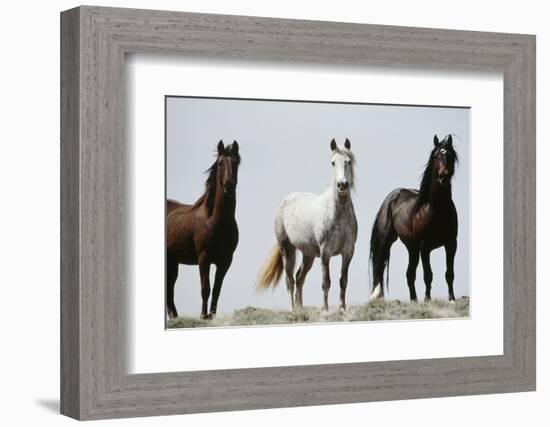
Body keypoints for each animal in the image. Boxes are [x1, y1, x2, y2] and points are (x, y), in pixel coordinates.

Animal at [165, 142, 240, 320]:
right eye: (220, 163)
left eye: (236, 163)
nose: (229, 185)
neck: (214, 221)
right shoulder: (203, 258)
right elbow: (205, 288)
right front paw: (203, 316)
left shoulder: (225, 261)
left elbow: (217, 290)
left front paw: (212, 316)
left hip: (173, 262)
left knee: (170, 288)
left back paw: (175, 317)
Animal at [258, 139, 360, 312]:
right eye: (333, 162)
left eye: (348, 161)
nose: (342, 185)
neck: (338, 215)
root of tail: (284, 201)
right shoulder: (325, 252)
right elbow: (326, 282)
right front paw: (325, 309)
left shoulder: (348, 252)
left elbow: (343, 281)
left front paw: (342, 308)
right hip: (286, 248)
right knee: (290, 280)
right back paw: (293, 309)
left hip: (308, 255)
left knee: (299, 278)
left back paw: (300, 309)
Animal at [370, 135, 462, 302]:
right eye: (436, 156)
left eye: (451, 155)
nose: (443, 177)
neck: (436, 209)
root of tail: (392, 197)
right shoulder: (425, 247)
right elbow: (428, 275)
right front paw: (427, 300)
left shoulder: (451, 244)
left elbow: (449, 273)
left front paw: (451, 299)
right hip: (388, 242)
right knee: (380, 267)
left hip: (412, 248)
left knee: (409, 274)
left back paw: (414, 300)